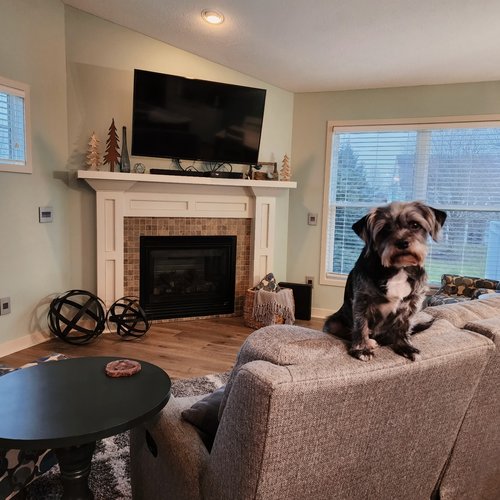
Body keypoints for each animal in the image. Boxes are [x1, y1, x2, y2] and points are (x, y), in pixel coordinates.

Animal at [324, 201, 446, 362]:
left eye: (415, 224)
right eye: (386, 228)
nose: (402, 243)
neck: (398, 268)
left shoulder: (412, 303)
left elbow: (404, 326)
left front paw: (405, 347)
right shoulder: (361, 300)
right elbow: (360, 325)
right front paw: (362, 349)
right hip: (332, 323)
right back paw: (370, 341)